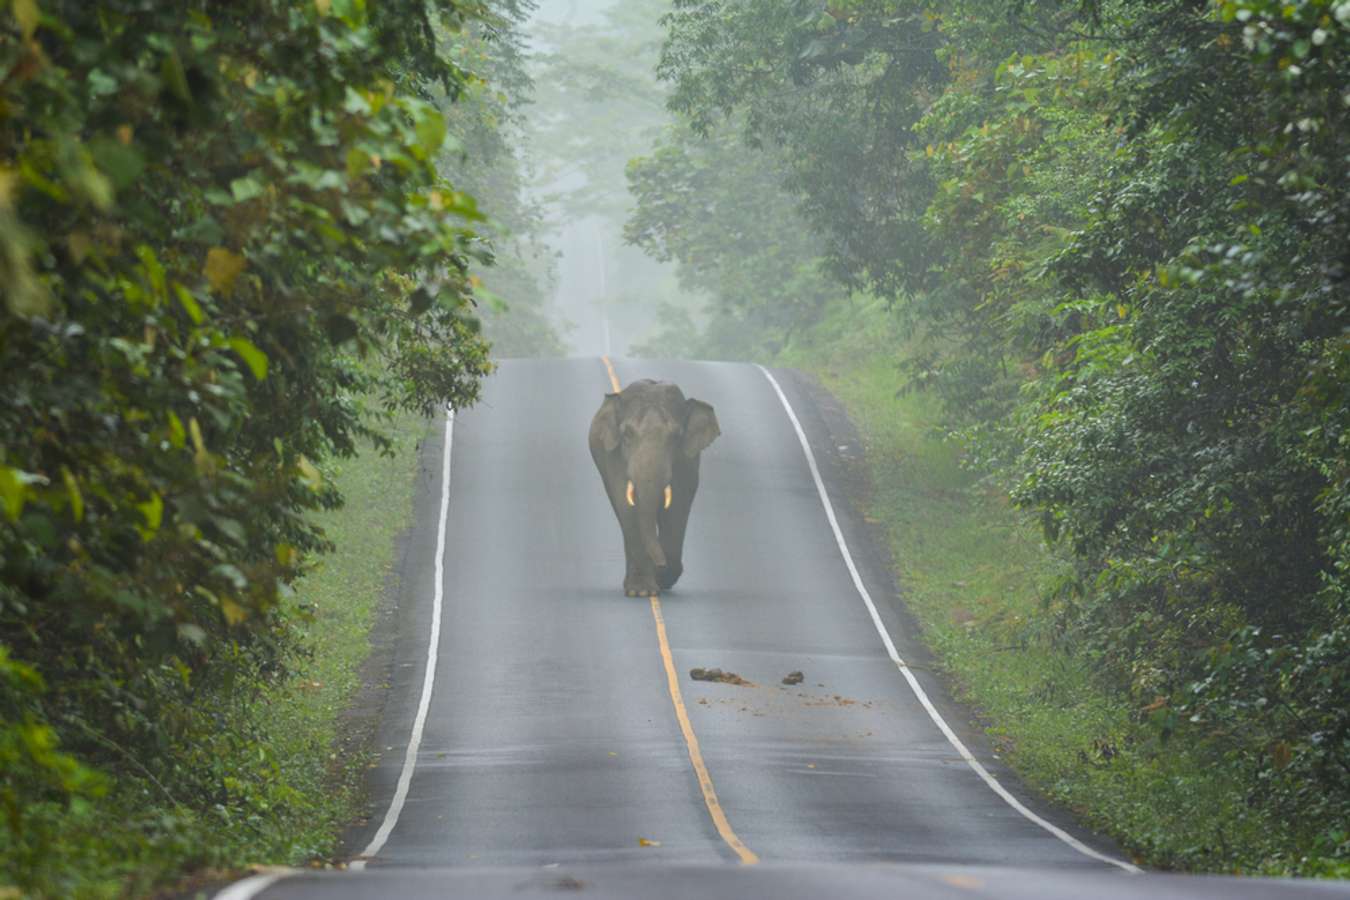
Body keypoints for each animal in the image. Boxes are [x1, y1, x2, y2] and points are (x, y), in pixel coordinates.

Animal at [588, 380, 723, 599]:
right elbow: (627, 507)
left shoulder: (687, 461)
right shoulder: (614, 457)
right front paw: (641, 591)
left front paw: (662, 578)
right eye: (627, 434)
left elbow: (678, 507)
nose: (660, 565)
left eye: (676, 437)